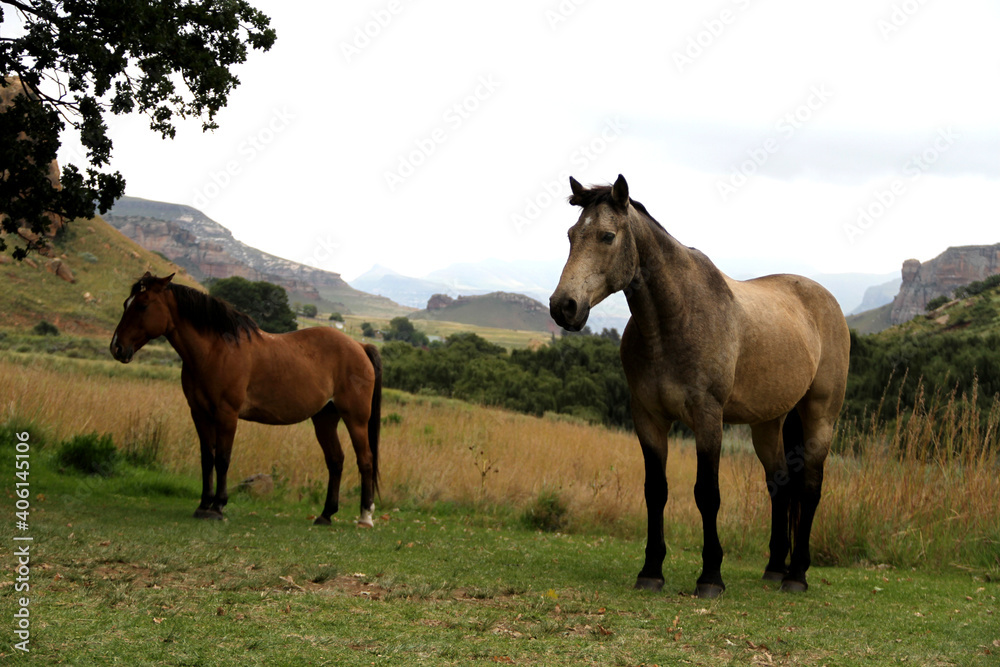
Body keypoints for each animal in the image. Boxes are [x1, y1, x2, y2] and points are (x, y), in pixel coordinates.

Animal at [110, 272, 382, 528]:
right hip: (325, 418)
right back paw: (325, 515)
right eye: (126, 303)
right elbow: (207, 458)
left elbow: (222, 458)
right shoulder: (199, 413)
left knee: (365, 461)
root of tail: (359, 345)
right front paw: (203, 505)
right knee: (336, 461)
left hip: (355, 419)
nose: (117, 348)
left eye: (143, 305)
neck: (216, 350)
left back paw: (365, 517)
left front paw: (218, 507)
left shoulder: (226, 414)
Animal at [552, 175, 848, 596]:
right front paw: (651, 571)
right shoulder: (648, 418)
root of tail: (825, 300)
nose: (563, 307)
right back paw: (775, 567)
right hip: (768, 423)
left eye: (607, 236)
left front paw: (710, 576)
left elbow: (707, 493)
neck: (674, 320)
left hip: (820, 416)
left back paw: (797, 575)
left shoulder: (708, 418)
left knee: (809, 486)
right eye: (571, 234)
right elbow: (655, 491)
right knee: (779, 483)